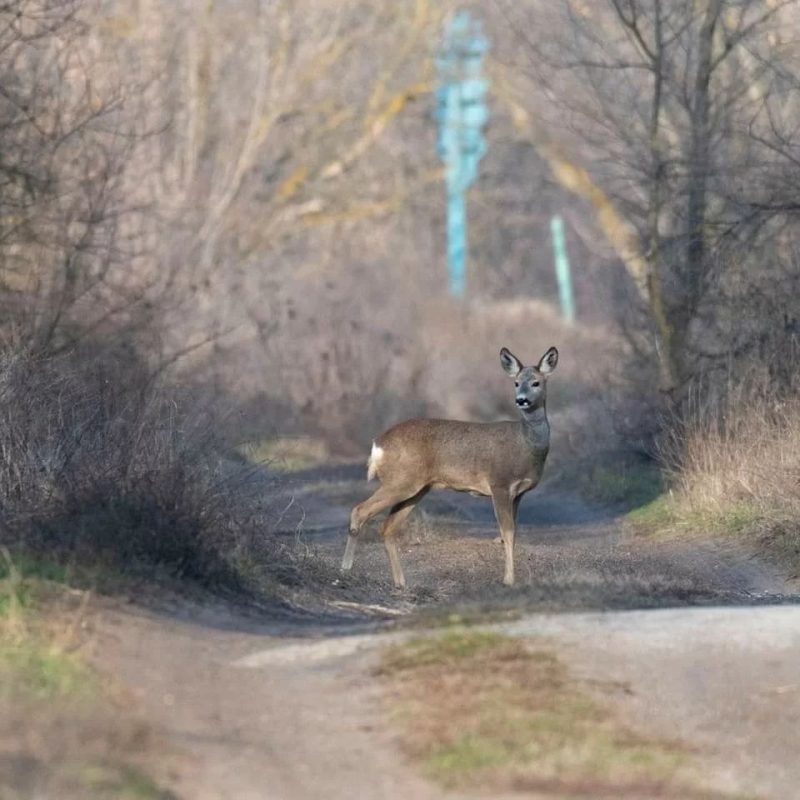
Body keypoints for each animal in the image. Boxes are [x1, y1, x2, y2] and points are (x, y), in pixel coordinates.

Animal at [340, 346, 560, 588]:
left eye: (536, 382)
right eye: (516, 382)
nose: (521, 400)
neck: (525, 444)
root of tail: (377, 444)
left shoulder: (518, 493)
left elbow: (513, 533)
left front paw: (511, 578)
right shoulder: (499, 484)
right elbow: (507, 532)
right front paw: (508, 580)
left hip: (416, 488)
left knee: (388, 527)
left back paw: (401, 582)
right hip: (401, 480)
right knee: (360, 510)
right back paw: (345, 569)